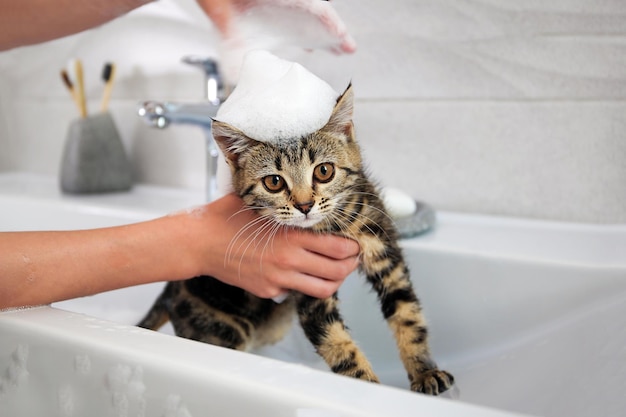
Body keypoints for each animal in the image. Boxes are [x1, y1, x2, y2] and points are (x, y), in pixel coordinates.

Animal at [136, 84, 450, 394]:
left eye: (324, 171)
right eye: (273, 182)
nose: (304, 205)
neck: (333, 226)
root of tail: (169, 291)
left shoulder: (385, 252)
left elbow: (408, 314)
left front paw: (425, 371)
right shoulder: (312, 287)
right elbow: (338, 345)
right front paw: (366, 385)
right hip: (220, 329)